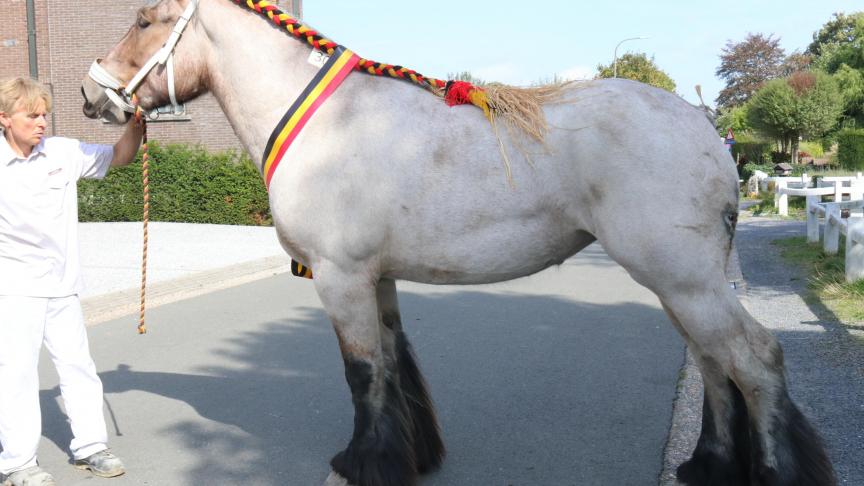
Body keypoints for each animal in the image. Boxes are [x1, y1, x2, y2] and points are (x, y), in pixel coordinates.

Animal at [81, 0, 836, 486]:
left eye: (145, 21)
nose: (93, 96)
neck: (327, 124)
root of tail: (705, 128)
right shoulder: (376, 279)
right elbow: (393, 365)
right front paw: (407, 458)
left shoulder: (340, 277)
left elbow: (363, 373)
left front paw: (362, 465)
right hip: (681, 285)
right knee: (713, 364)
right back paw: (707, 466)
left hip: (685, 280)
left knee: (754, 360)